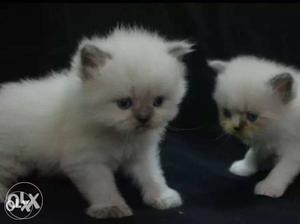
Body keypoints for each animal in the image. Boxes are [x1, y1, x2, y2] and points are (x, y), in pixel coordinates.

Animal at [0, 26, 193, 219]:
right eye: (124, 104)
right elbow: (102, 186)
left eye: (158, 102)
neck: (120, 135)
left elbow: (152, 175)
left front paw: (162, 196)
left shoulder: (141, 153)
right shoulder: (88, 161)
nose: (144, 118)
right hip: (10, 160)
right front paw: (110, 207)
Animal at [210, 55, 300, 198]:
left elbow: (281, 170)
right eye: (227, 113)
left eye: (252, 117)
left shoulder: (293, 150)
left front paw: (269, 187)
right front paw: (244, 167)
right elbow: (252, 154)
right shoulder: (262, 141)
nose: (236, 127)